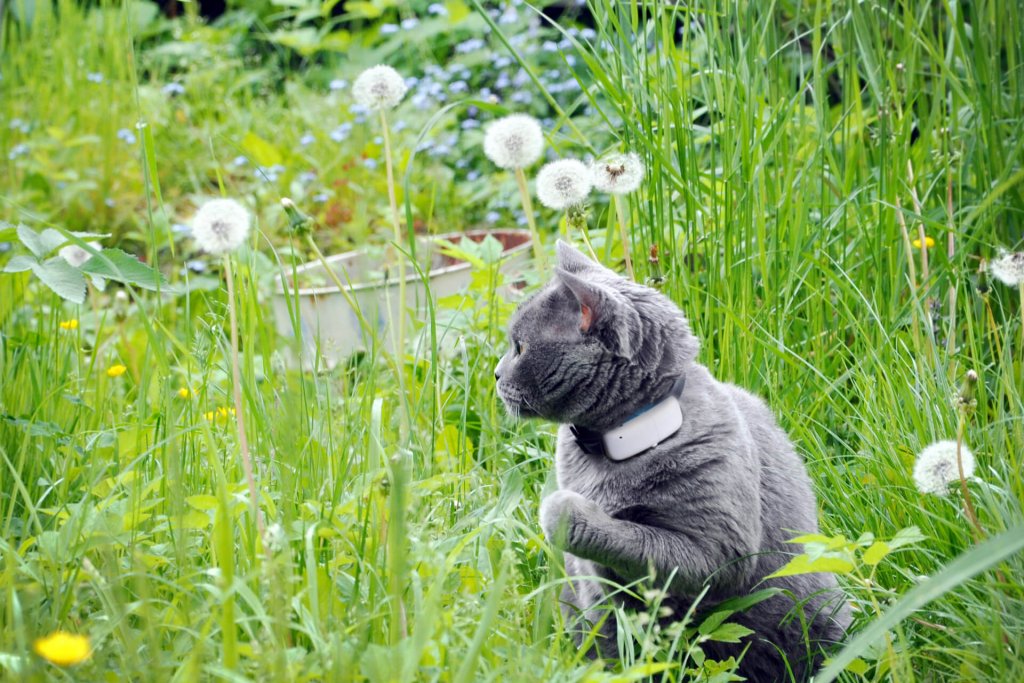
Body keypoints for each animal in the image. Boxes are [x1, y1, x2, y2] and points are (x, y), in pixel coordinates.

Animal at [493, 242, 847, 679]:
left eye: (520, 347)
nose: (495, 374)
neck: (620, 443)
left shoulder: (718, 550)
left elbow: (639, 543)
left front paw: (564, 511)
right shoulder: (594, 591)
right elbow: (611, 626)